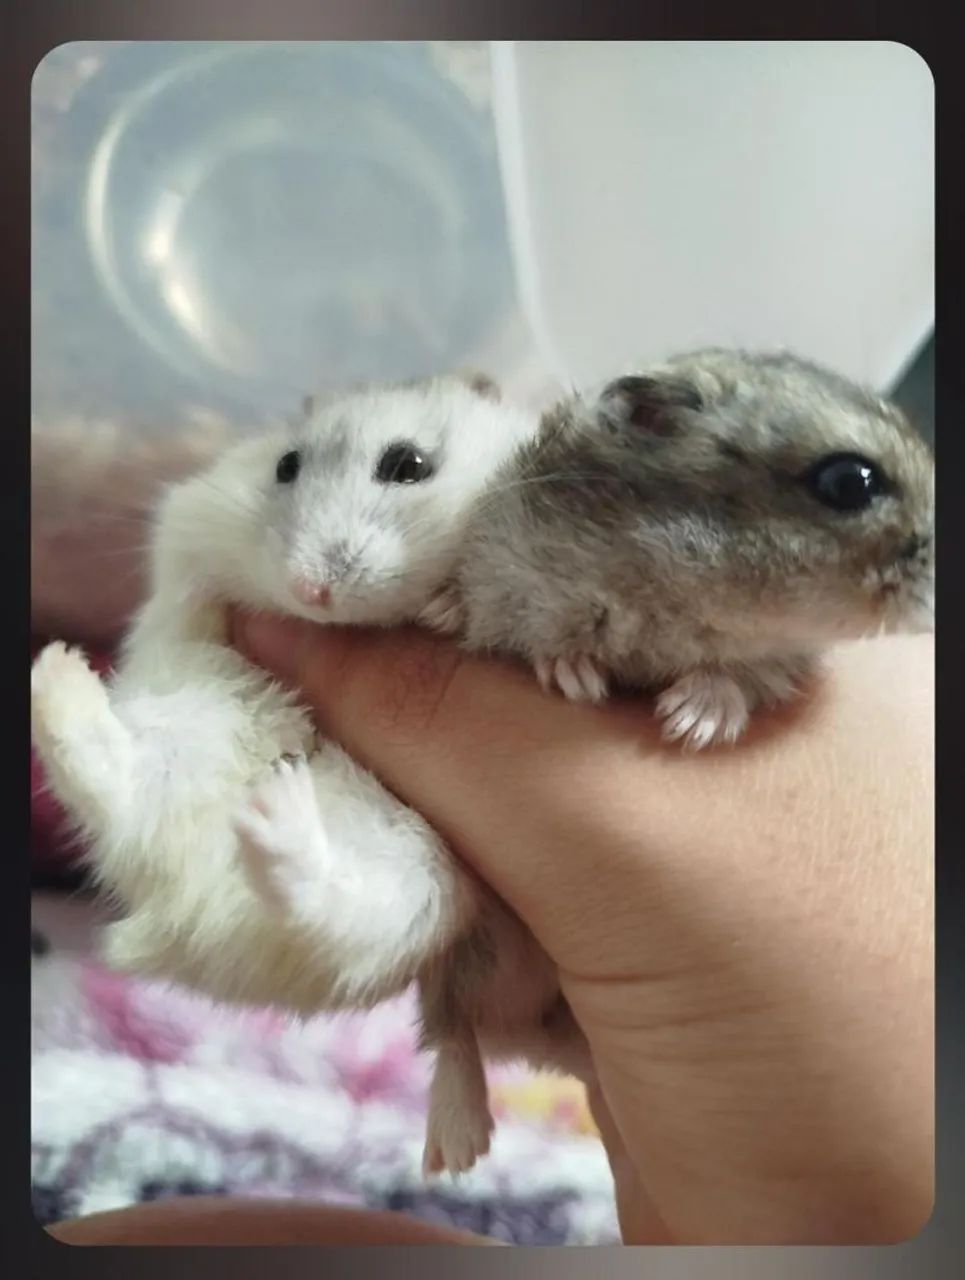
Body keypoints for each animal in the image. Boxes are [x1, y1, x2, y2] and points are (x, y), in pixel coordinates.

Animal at [31, 373, 554, 1176]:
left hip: (421, 888)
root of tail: (180, 911)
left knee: (343, 921)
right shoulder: (191, 534)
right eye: (285, 466)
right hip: (191, 724)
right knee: (118, 779)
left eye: (408, 464)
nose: (309, 592)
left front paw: (444, 609)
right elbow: (196, 595)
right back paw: (60, 675)